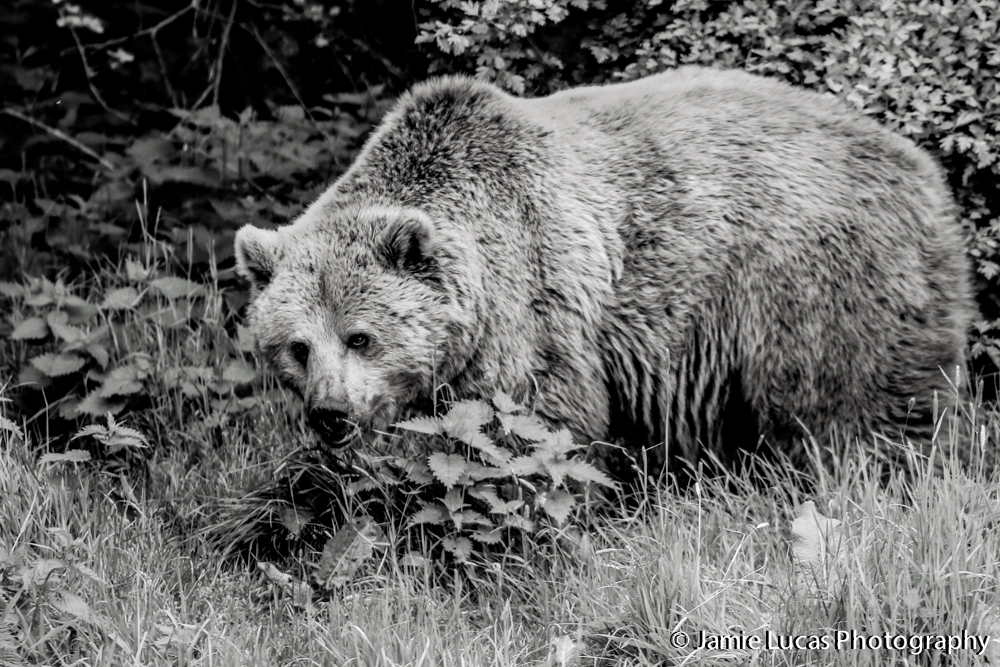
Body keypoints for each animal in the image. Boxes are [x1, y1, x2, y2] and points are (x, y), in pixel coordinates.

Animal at [234, 65, 974, 477]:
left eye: (360, 336)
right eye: (296, 346)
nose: (330, 414)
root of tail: (920, 164)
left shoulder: (530, 297)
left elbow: (528, 426)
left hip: (815, 277)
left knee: (851, 408)